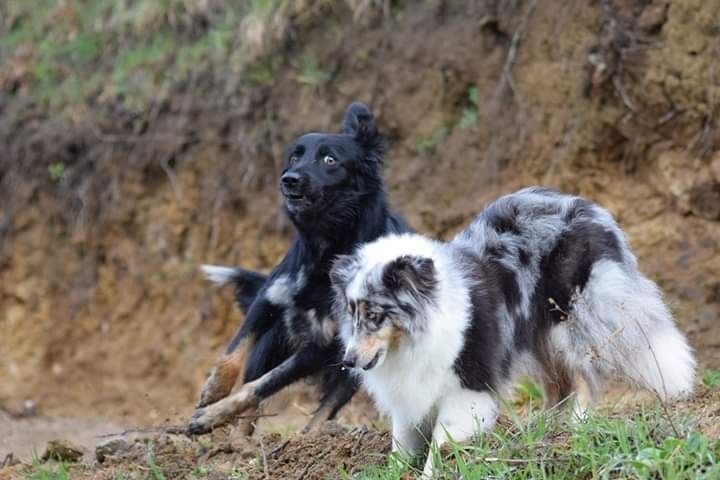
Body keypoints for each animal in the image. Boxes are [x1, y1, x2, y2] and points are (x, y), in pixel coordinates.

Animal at [186, 103, 410, 434]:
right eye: (295, 156)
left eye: (330, 159)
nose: (289, 179)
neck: (326, 247)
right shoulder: (269, 298)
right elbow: (234, 353)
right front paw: (214, 390)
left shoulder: (322, 346)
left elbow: (265, 385)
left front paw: (209, 414)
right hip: (271, 344)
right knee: (252, 397)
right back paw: (237, 440)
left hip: (357, 362)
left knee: (321, 409)